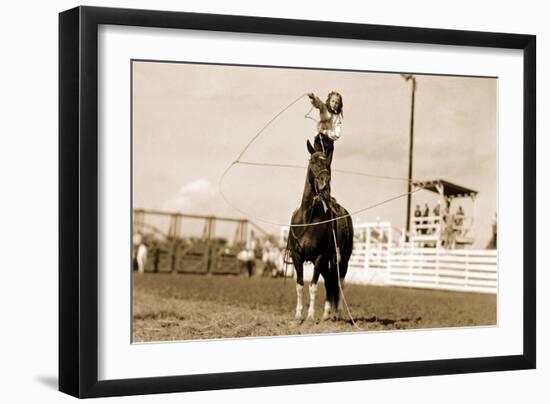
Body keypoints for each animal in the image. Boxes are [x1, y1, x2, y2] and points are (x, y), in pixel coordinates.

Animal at [288, 140, 354, 320]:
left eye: (328, 164)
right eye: (313, 161)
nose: (324, 182)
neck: (308, 219)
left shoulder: (319, 257)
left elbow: (313, 286)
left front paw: (310, 315)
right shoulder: (297, 256)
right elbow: (299, 285)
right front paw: (298, 314)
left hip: (342, 260)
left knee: (339, 283)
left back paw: (337, 313)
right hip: (327, 264)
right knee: (330, 284)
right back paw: (326, 314)